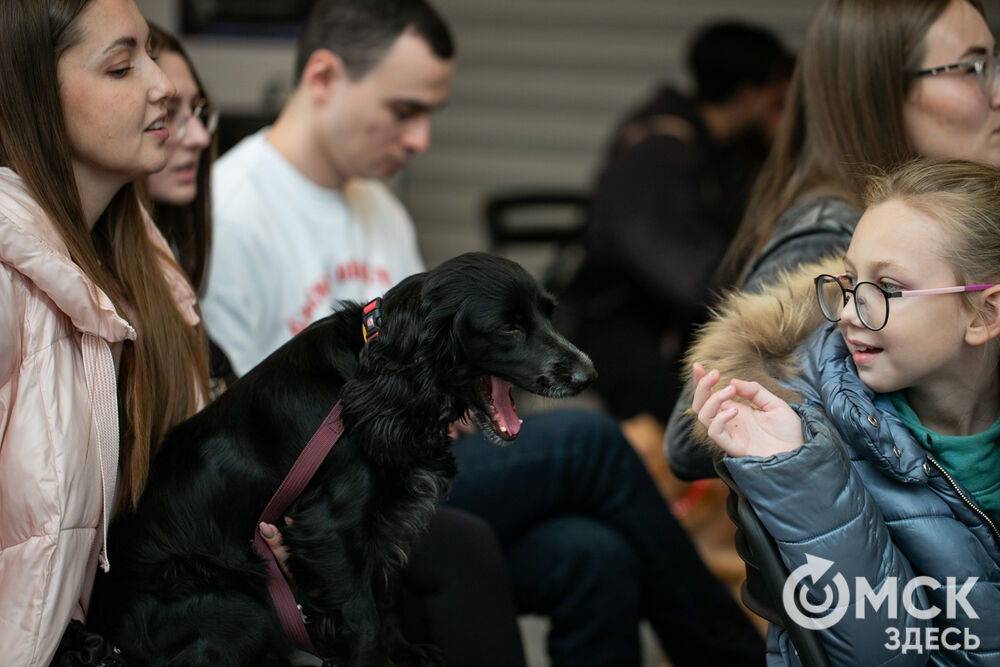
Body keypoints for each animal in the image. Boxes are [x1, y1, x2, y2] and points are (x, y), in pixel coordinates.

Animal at [86, 254, 592, 667]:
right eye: (508, 328)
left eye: (549, 313)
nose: (588, 374)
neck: (375, 375)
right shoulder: (330, 527)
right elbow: (362, 618)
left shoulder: (378, 528)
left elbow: (385, 599)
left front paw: (403, 654)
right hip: (241, 609)